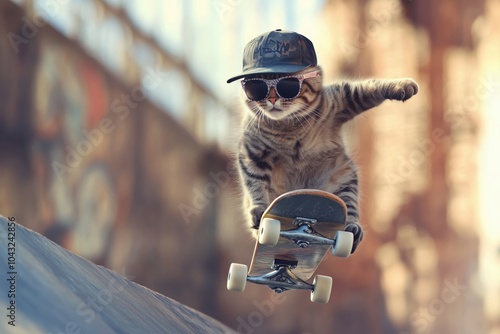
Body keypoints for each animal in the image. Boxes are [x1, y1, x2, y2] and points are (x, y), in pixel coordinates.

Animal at [236, 66, 416, 253]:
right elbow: (255, 184)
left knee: (348, 213)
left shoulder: (343, 98)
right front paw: (259, 208)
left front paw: (402, 85)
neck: (289, 127)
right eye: (256, 87)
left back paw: (351, 228)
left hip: (344, 180)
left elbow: (371, 87)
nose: (272, 99)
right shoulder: (252, 155)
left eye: (288, 85)